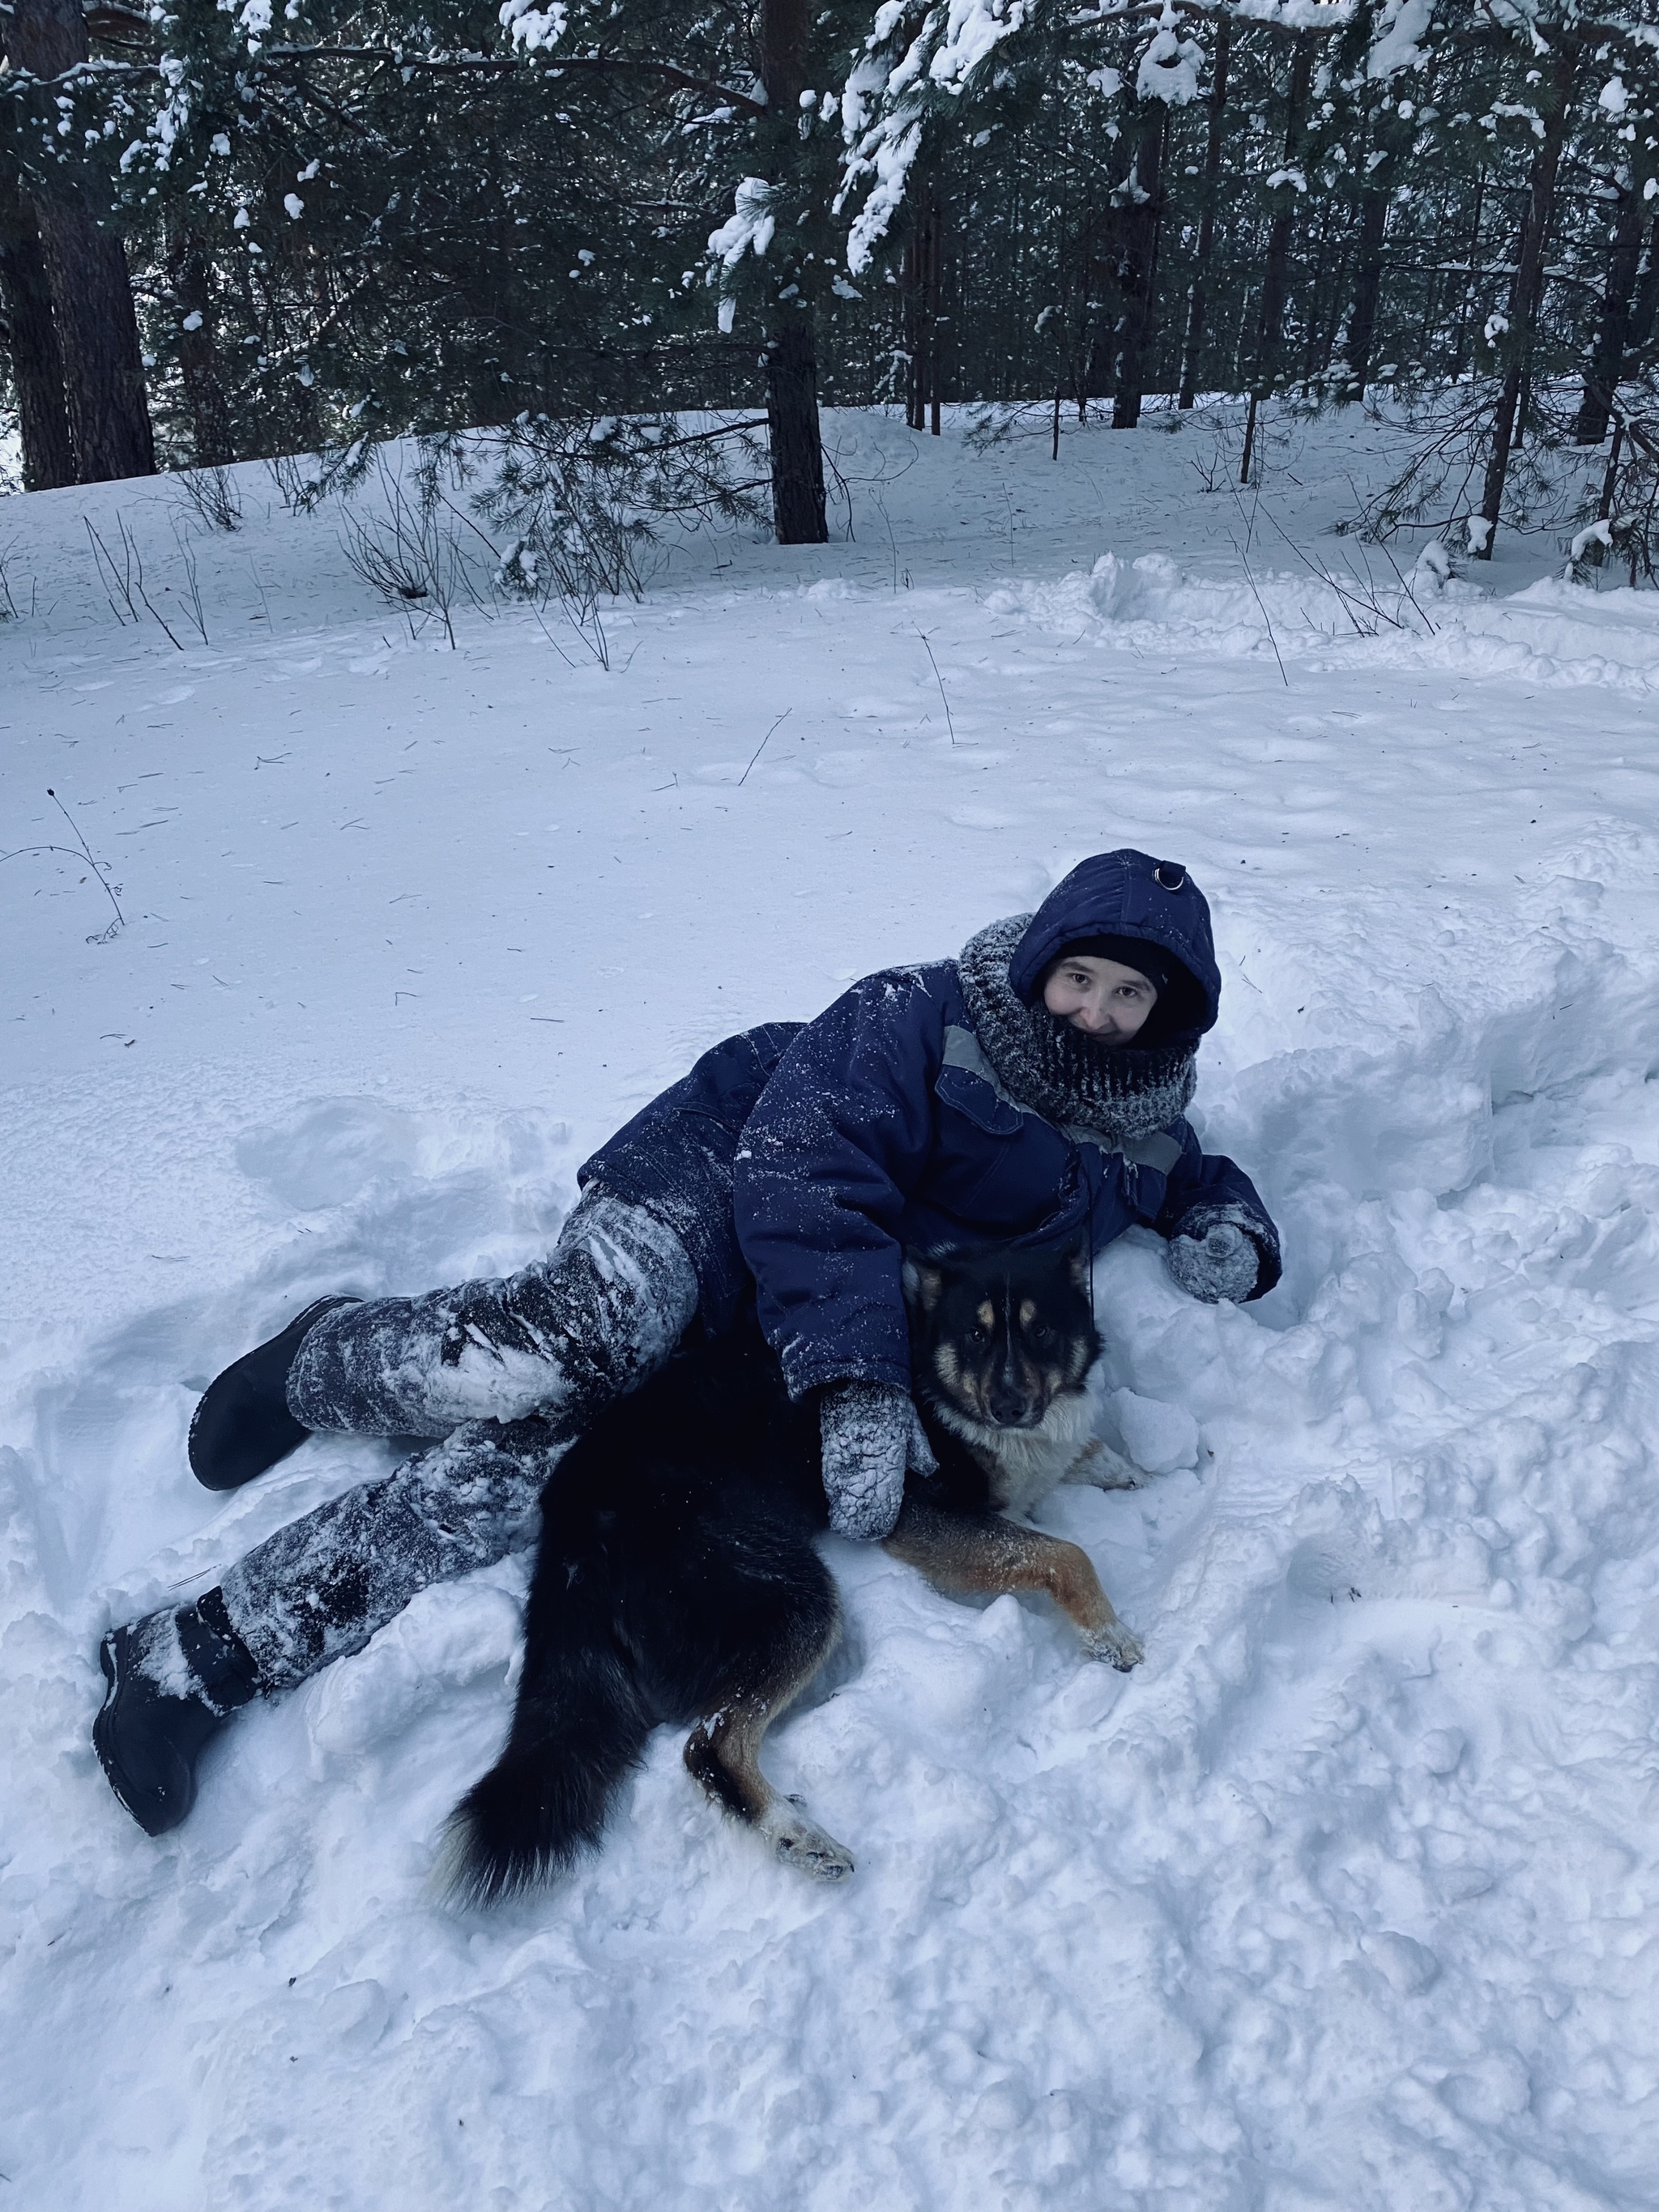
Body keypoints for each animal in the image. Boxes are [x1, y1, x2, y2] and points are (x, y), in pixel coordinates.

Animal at [437, 1247, 1141, 1902]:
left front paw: (1121, 1467)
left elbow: (1076, 1460)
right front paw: (1109, 1634)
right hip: (793, 1594)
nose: (1009, 1403)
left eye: (1040, 1329)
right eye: (975, 1333)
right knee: (709, 1745)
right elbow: (1066, 1553)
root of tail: (574, 1521)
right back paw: (799, 1837)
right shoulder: (917, 1512)